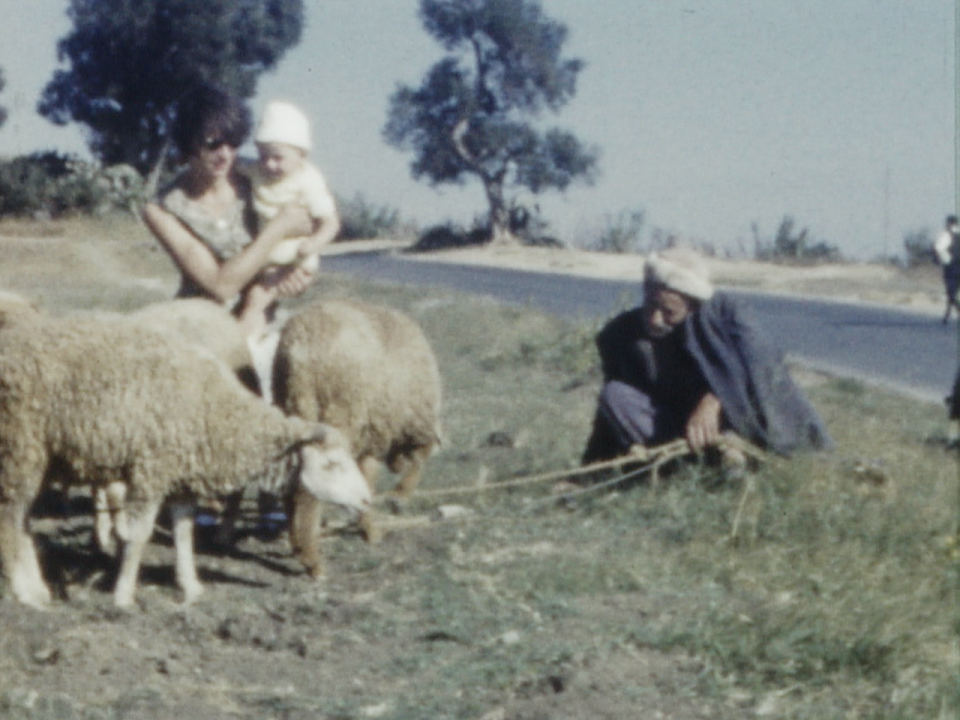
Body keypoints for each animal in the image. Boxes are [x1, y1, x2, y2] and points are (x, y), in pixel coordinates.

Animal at [0, 314, 372, 608]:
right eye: (332, 464)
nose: (368, 500)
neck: (218, 413)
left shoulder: (180, 475)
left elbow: (183, 532)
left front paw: (190, 587)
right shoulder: (151, 469)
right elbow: (139, 536)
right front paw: (123, 595)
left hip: (38, 457)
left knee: (23, 520)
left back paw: (37, 588)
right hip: (20, 447)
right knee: (10, 516)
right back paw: (25, 592)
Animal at [270, 300, 442, 580]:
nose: (398, 503)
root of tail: (300, 348)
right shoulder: (374, 438)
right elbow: (368, 481)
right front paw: (373, 528)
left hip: (292, 406)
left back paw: (298, 545)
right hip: (339, 415)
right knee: (308, 487)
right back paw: (312, 560)